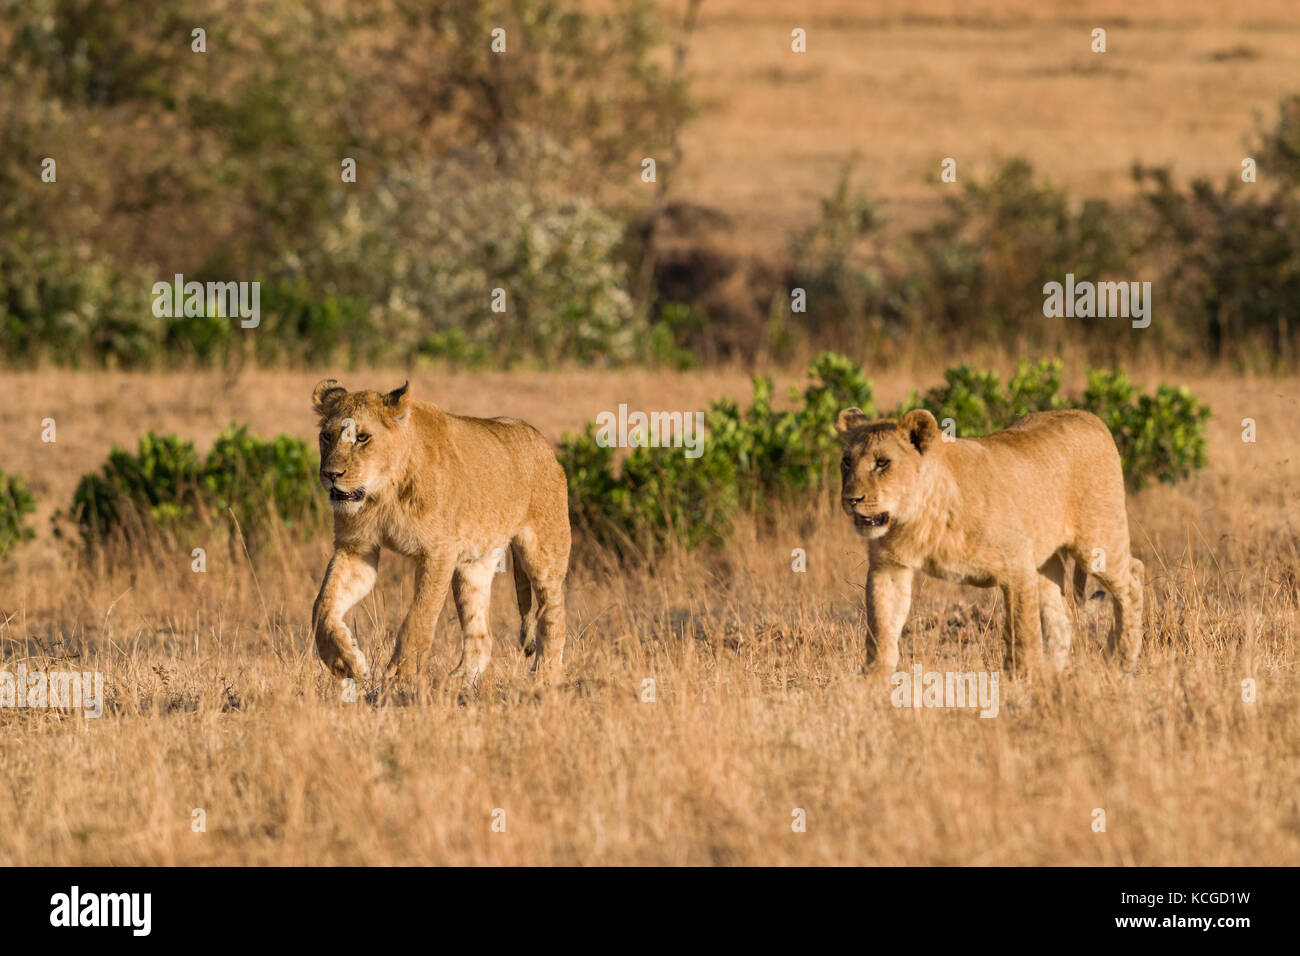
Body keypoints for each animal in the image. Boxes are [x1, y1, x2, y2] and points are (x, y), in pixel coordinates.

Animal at [309, 379, 571, 687]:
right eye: (326, 437)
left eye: (362, 438)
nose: (330, 474)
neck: (382, 493)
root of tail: (542, 443)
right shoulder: (356, 548)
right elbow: (323, 607)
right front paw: (345, 663)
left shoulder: (438, 551)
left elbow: (420, 616)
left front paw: (399, 677)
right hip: (472, 566)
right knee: (482, 634)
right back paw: (458, 681)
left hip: (544, 554)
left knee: (554, 613)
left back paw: (544, 676)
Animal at [835, 406, 1145, 675]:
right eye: (847, 462)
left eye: (882, 463)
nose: (851, 499)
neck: (918, 517)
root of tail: (1091, 417)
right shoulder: (889, 568)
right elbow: (881, 629)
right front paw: (872, 683)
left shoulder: (1017, 566)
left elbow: (1023, 632)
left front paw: (1024, 682)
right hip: (1046, 563)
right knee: (1062, 616)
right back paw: (1055, 673)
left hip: (1097, 543)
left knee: (1133, 578)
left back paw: (1120, 660)